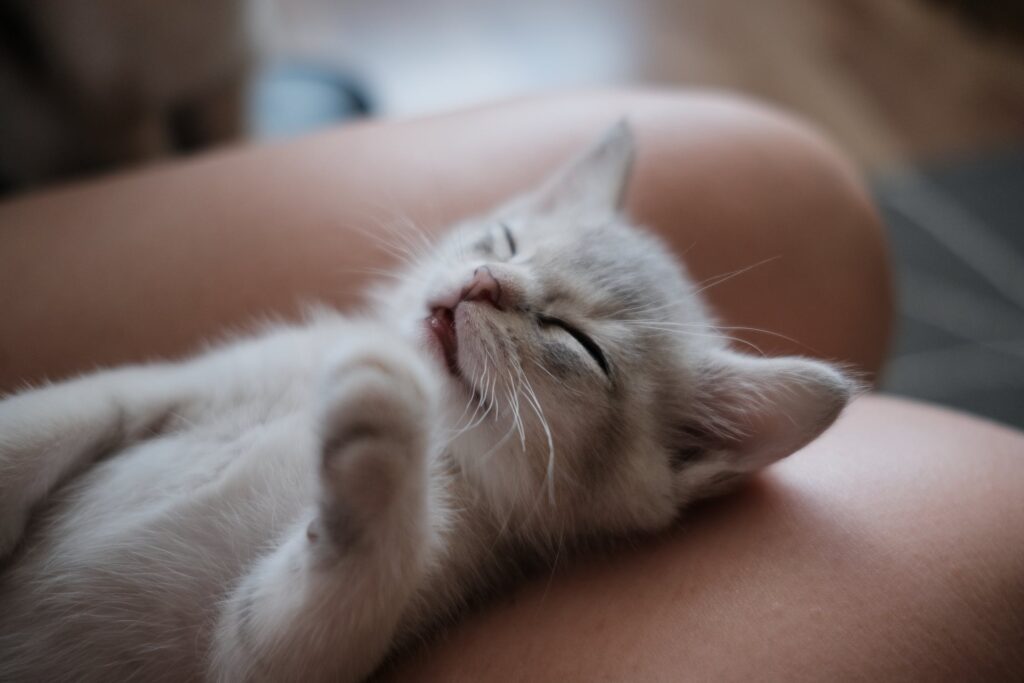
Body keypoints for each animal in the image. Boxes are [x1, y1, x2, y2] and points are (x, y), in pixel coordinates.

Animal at [0, 120, 847, 679]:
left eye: (578, 343)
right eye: (505, 240)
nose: (484, 283)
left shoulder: (261, 649)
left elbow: (315, 618)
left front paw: (383, 455)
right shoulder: (168, 385)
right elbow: (51, 420)